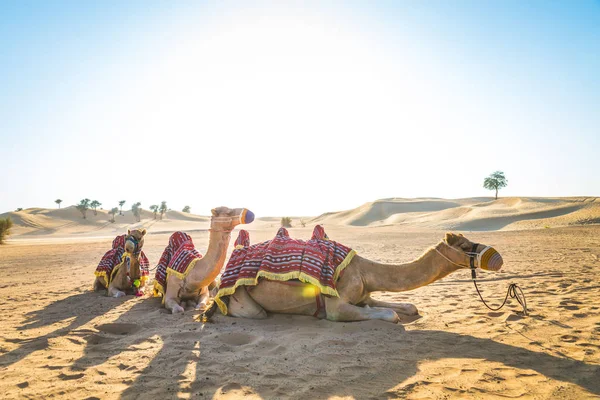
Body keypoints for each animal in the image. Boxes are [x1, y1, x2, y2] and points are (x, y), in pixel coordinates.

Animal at [210, 227, 502, 324]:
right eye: (463, 245)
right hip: (243, 301)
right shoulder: (336, 306)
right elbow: (391, 314)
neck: (365, 270)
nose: (497, 257)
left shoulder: (365, 295)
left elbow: (409, 305)